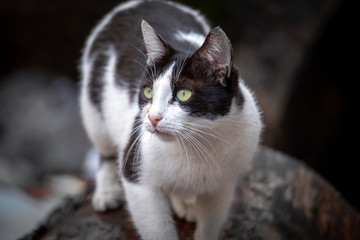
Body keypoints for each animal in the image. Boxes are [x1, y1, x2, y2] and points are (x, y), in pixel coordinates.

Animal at [80, 0, 262, 239]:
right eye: (148, 92)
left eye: (183, 94)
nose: (153, 117)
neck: (197, 147)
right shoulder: (139, 177)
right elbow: (157, 228)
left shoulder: (222, 187)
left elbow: (210, 223)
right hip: (94, 110)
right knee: (105, 151)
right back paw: (107, 191)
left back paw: (185, 202)